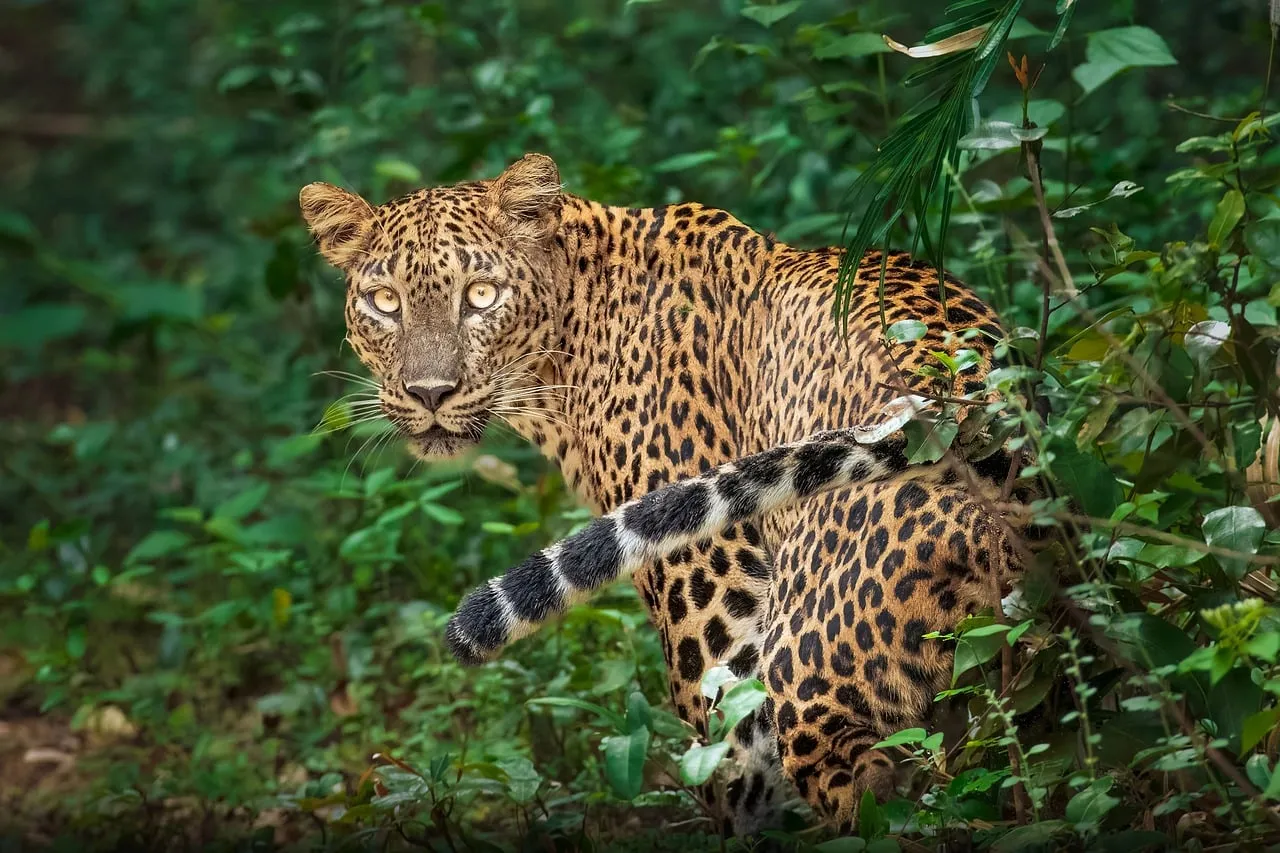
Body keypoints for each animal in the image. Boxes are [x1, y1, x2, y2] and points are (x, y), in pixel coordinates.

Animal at [299, 153, 1034, 836]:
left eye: (480, 295)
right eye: (385, 302)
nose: (429, 392)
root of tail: (971, 424)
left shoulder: (717, 627)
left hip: (806, 679)